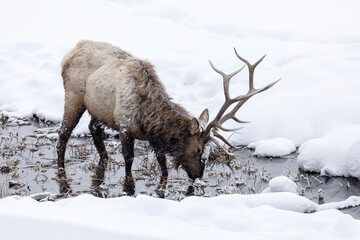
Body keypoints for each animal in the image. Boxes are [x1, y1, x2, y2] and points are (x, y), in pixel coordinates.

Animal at [57, 40, 282, 191]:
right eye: (198, 149)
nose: (198, 175)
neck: (146, 119)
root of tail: (70, 52)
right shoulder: (124, 125)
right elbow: (129, 160)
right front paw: (129, 185)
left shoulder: (154, 139)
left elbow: (162, 163)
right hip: (74, 96)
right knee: (64, 133)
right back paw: (60, 169)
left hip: (99, 109)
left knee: (93, 128)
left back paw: (104, 160)